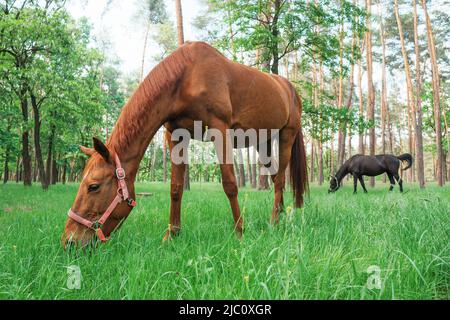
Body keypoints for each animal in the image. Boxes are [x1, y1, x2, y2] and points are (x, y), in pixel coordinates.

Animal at [61, 42, 310, 248]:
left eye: (93, 186)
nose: (68, 242)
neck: (186, 77)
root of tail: (289, 88)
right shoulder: (176, 135)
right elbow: (176, 188)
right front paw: (171, 235)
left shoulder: (219, 129)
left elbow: (230, 184)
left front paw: (240, 233)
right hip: (263, 142)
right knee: (276, 177)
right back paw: (279, 215)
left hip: (286, 136)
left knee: (280, 180)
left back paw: (274, 222)